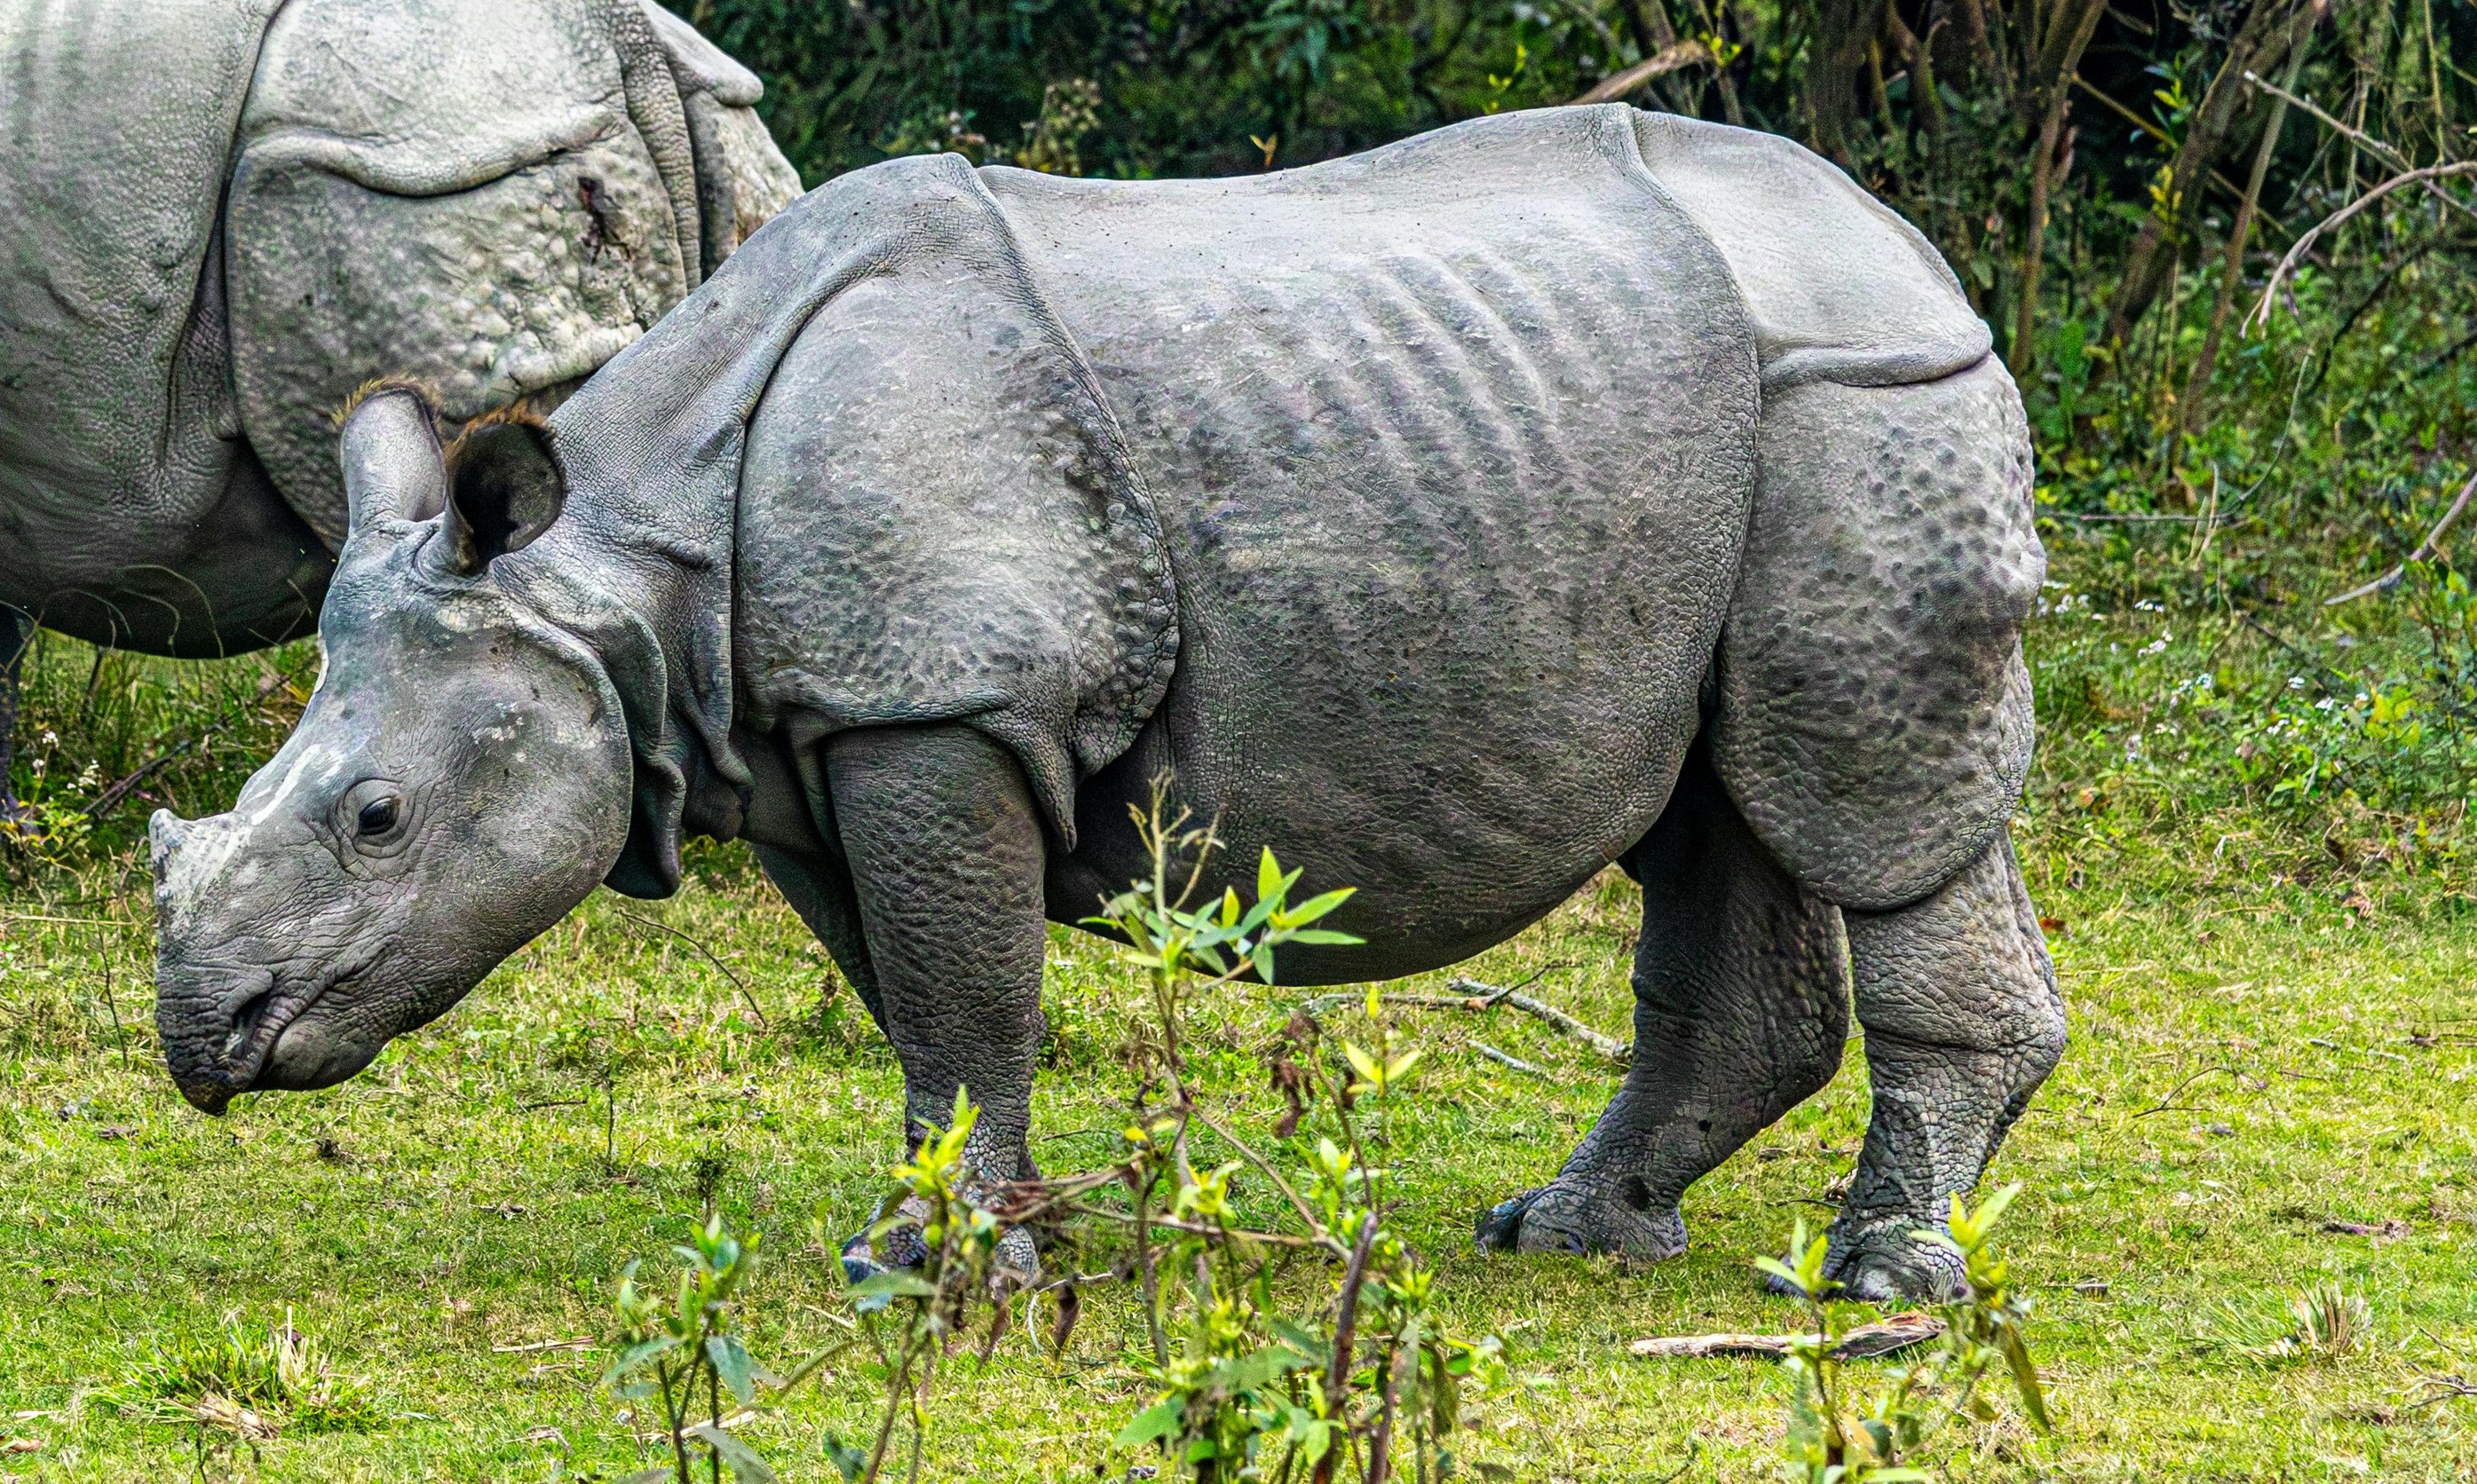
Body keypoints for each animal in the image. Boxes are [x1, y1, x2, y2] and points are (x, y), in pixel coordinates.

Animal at [148, 104, 2063, 1300]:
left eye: (378, 818)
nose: (205, 1039)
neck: (614, 576)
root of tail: (1920, 257)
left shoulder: (936, 704)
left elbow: (966, 991)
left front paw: (944, 1276)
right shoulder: (817, 725)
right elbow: (920, 1011)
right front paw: (933, 1241)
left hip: (1866, 402)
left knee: (1869, 807)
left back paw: (1875, 1278)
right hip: (1737, 424)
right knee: (1718, 808)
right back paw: (1567, 1233)